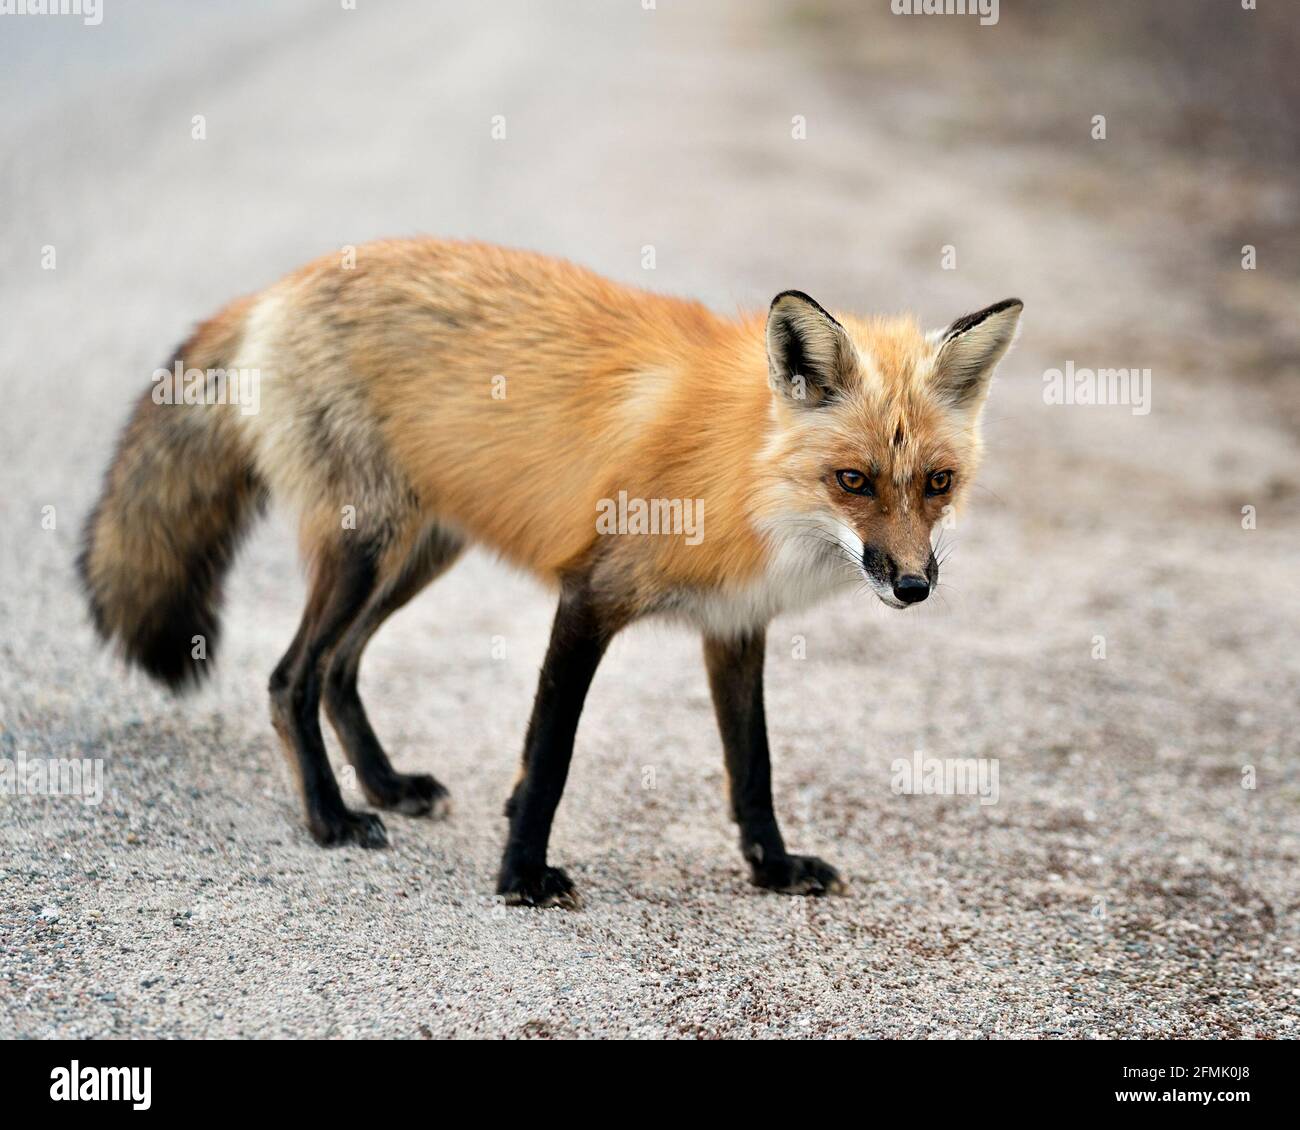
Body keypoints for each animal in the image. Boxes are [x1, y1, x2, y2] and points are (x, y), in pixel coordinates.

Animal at [76, 240, 1019, 910]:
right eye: (852, 480)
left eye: (937, 482)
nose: (913, 587)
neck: (746, 476)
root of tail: (282, 285)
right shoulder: (591, 594)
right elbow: (551, 755)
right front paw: (521, 875)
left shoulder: (733, 624)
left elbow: (753, 768)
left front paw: (775, 870)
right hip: (366, 548)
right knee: (290, 677)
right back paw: (332, 817)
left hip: (419, 553)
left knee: (340, 668)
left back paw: (385, 784)